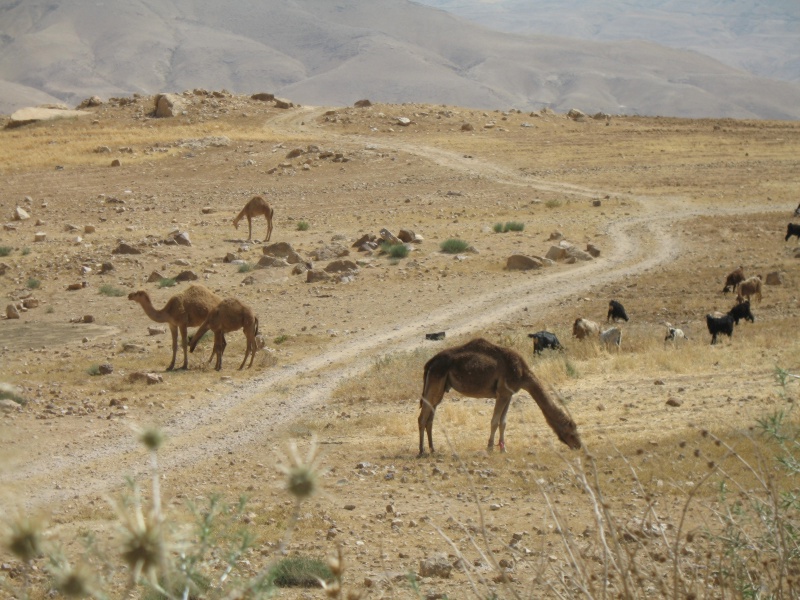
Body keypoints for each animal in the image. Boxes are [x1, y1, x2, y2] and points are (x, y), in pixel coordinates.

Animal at [418, 338, 580, 454]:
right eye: (571, 432)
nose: (578, 446)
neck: (523, 374)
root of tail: (429, 363)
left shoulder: (508, 394)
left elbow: (503, 422)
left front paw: (503, 448)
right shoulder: (502, 393)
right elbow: (495, 421)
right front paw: (490, 448)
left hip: (440, 387)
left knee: (430, 417)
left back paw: (433, 449)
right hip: (435, 380)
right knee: (422, 417)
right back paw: (421, 451)